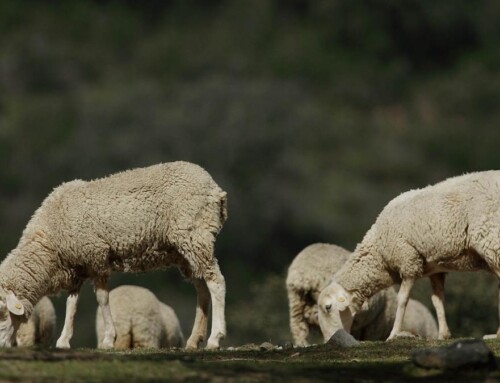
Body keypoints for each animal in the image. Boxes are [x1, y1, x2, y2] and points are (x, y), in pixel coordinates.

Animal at [0, 162, 228, 352]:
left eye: (2, 311)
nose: (1, 346)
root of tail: (214, 188)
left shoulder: (96, 257)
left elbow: (102, 299)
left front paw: (109, 339)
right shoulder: (78, 265)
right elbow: (72, 304)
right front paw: (64, 340)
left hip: (196, 235)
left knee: (216, 282)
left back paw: (214, 338)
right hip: (185, 252)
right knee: (202, 291)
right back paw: (194, 340)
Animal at [318, 171, 500, 342]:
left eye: (328, 307)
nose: (329, 341)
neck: (379, 252)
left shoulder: (408, 261)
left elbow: (402, 299)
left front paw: (393, 334)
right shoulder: (435, 269)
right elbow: (437, 300)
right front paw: (443, 335)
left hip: (491, 240)